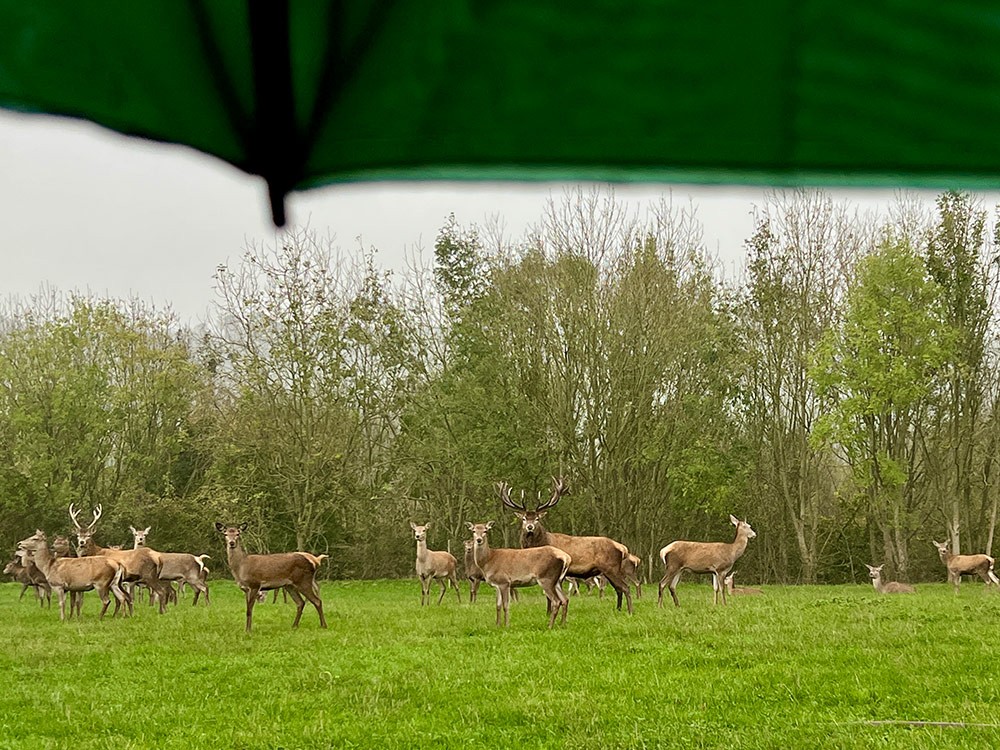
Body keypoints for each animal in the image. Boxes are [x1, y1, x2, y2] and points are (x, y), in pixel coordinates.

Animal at [500, 478, 632, 612]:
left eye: (537, 518)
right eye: (524, 518)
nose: (530, 527)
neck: (543, 541)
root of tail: (623, 548)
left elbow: (549, 595)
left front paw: (548, 612)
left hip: (611, 567)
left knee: (625, 587)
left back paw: (630, 611)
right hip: (608, 570)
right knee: (618, 589)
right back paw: (618, 609)